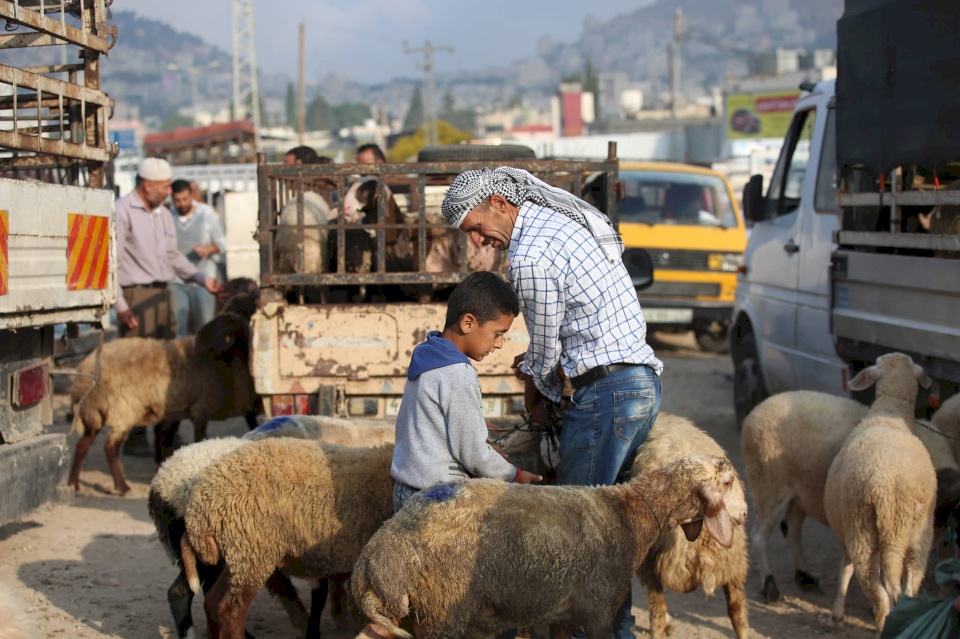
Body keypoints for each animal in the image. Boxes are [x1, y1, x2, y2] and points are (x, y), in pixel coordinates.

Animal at [66, 312, 258, 498]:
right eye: (244, 338)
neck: (221, 360)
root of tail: (82, 378)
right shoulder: (200, 411)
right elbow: (197, 439)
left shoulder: (173, 412)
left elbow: (165, 439)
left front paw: (161, 465)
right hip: (122, 412)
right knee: (110, 449)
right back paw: (122, 487)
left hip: (93, 412)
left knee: (82, 445)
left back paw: (74, 485)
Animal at [348, 456, 748, 639]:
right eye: (728, 481)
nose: (745, 513)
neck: (630, 514)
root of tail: (374, 558)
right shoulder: (598, 609)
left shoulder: (562, 612)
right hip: (442, 609)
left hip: (401, 612)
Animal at [632, 416, 752, 639]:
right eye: (728, 482)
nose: (744, 513)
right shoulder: (650, 565)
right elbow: (657, 612)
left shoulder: (732, 565)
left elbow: (737, 612)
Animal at [824, 352, 936, 636]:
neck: (890, 411)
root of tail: (893, 490)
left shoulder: (846, 531)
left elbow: (844, 570)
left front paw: (837, 615)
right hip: (919, 536)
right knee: (908, 588)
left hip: (862, 531)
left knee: (879, 591)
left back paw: (883, 624)